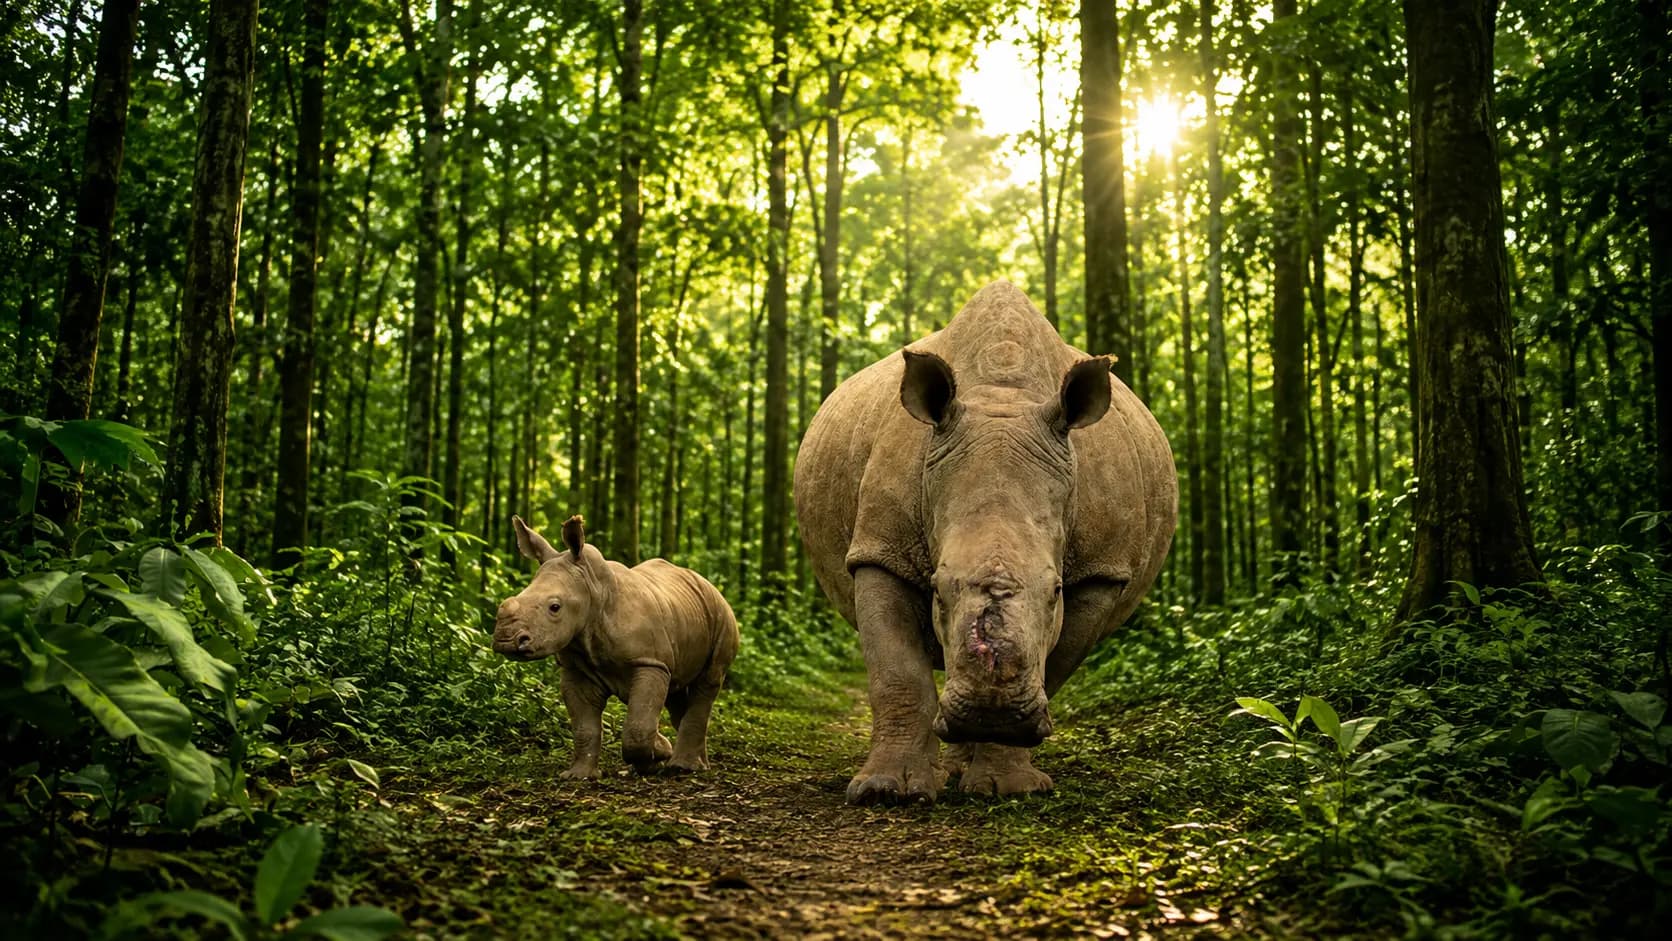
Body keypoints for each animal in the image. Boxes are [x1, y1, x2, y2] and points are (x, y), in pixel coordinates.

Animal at [493, 514, 739, 778]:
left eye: (555, 607)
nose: (505, 640)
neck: (593, 589)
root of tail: (708, 583)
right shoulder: (576, 669)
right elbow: (585, 727)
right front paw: (580, 775)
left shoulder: (649, 662)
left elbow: (638, 728)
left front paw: (656, 757)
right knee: (677, 691)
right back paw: (696, 763)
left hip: (722, 613)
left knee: (708, 680)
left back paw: (685, 767)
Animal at [795, 281, 1176, 804]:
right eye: (936, 589)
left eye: (1056, 591)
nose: (991, 710)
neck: (1004, 399)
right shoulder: (880, 549)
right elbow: (897, 673)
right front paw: (886, 791)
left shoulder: (1101, 569)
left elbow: (1054, 663)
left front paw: (1008, 788)